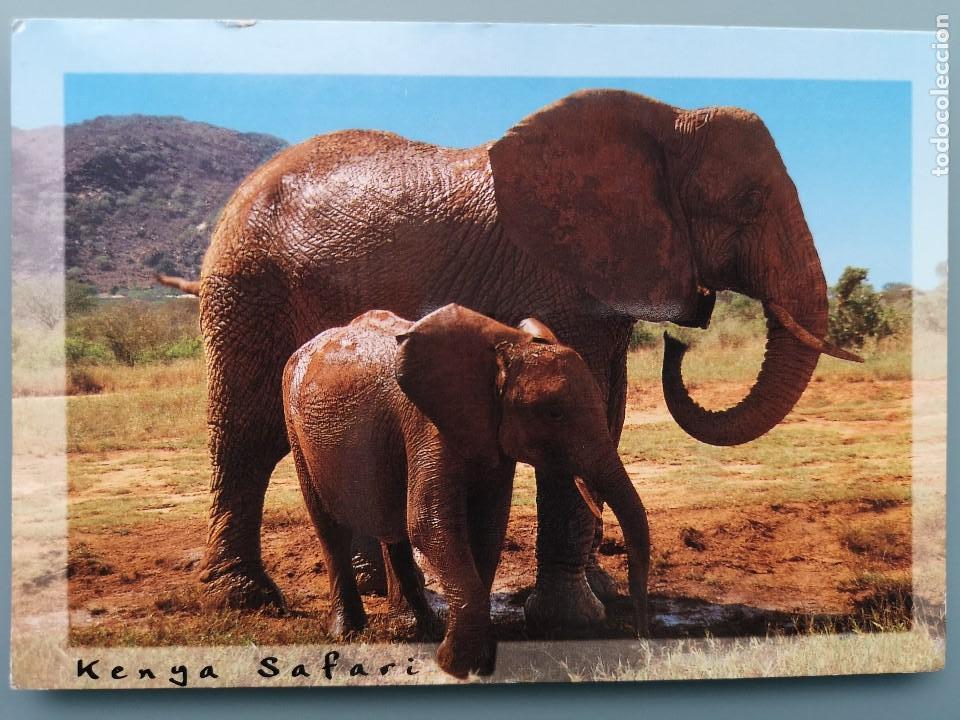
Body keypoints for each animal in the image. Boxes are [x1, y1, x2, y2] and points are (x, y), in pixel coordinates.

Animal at [160, 88, 859, 632]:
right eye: (749, 202)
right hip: (245, 289)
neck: (666, 121)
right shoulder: (552, 274)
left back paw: (375, 587)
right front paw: (575, 617)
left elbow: (605, 412)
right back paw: (244, 601)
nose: (680, 340)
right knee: (247, 438)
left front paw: (596, 595)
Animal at [281, 304, 650, 677]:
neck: (508, 347)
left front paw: (475, 659)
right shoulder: (429, 423)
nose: (640, 632)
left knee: (393, 528)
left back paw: (425, 629)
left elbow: (487, 526)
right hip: (295, 427)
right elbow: (430, 523)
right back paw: (347, 632)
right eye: (554, 413)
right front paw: (455, 664)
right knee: (330, 528)